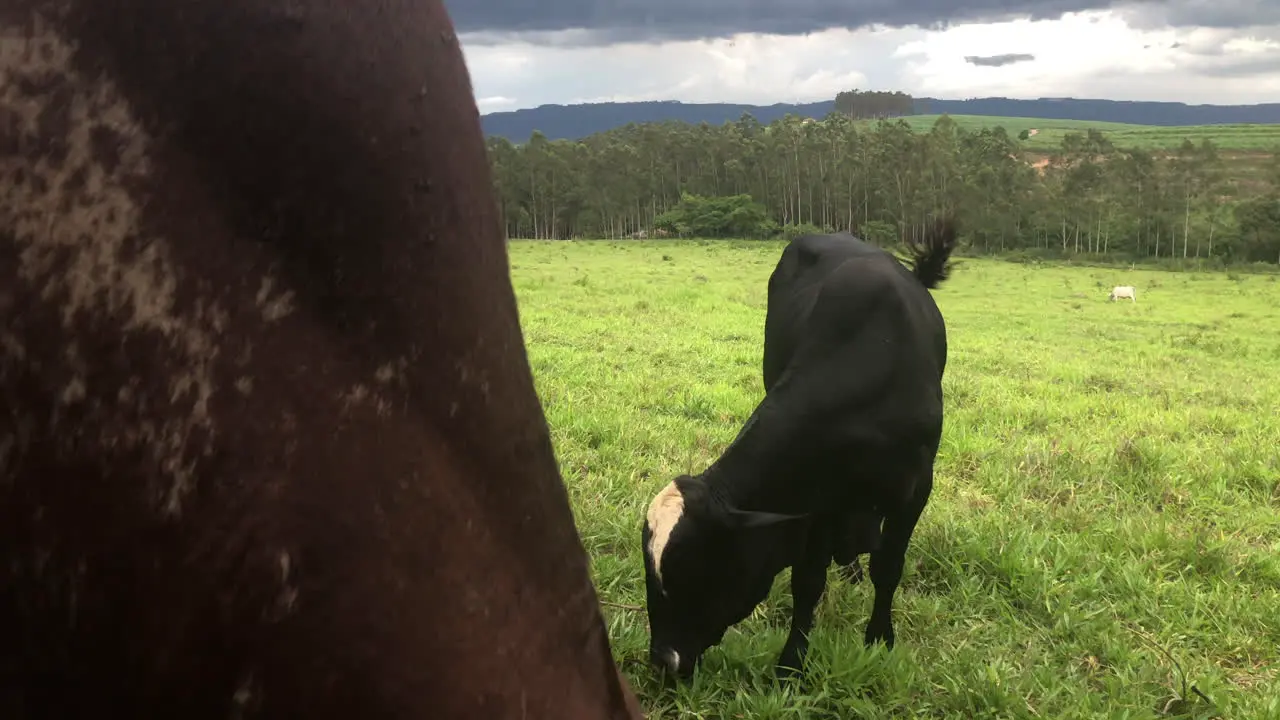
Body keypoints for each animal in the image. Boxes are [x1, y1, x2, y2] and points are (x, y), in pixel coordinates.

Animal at [640, 221, 952, 676]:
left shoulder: (915, 489)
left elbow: (888, 567)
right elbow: (807, 583)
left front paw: (880, 638)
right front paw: (792, 662)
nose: (663, 660)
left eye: (696, 569)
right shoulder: (816, 499)